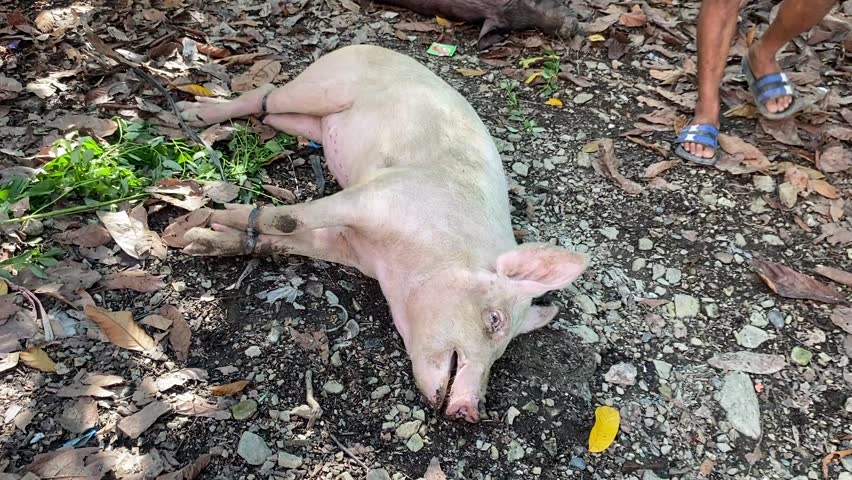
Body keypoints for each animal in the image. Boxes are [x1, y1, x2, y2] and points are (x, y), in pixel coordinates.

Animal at [177, 45, 588, 423]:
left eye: (502, 354)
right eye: (494, 321)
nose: (471, 412)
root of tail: (367, 46)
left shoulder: (350, 246)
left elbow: (294, 239)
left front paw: (205, 237)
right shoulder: (378, 195)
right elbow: (292, 220)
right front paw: (211, 218)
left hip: (309, 123)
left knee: (273, 112)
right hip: (322, 87)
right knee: (266, 92)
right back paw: (189, 113)